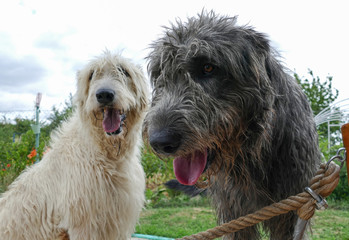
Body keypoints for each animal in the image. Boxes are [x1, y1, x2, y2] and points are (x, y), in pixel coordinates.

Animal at [143, 11, 320, 240]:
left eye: (208, 67)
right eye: (160, 75)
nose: (159, 142)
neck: (254, 152)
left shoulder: (291, 208)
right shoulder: (234, 211)